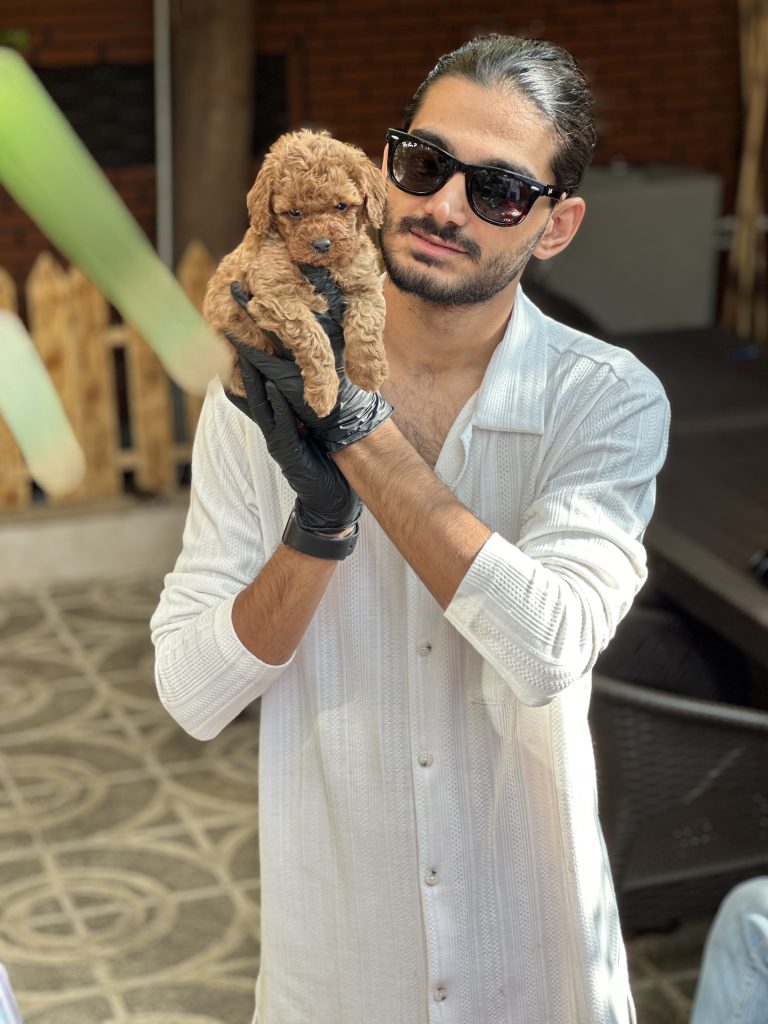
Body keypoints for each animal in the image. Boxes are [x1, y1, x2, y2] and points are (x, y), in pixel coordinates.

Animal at [202, 128, 387, 415]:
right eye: (295, 213)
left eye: (341, 206)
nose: (322, 244)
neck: (323, 267)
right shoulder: (276, 299)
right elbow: (314, 338)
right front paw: (324, 393)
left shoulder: (366, 284)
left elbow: (367, 324)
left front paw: (367, 372)